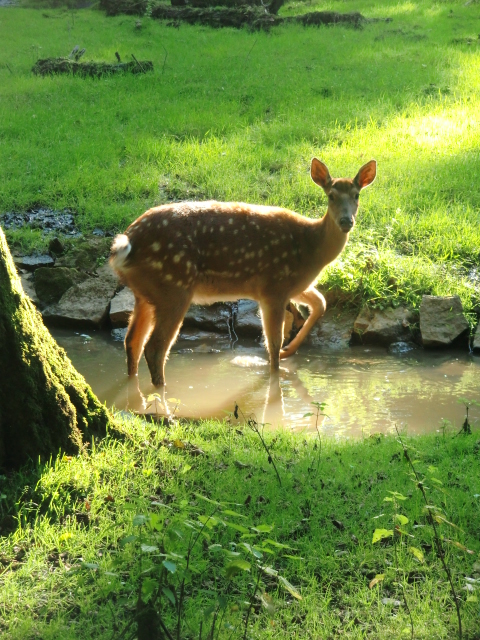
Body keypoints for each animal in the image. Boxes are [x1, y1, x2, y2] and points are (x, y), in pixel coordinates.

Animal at [110, 158, 376, 388]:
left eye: (357, 195)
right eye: (331, 196)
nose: (346, 221)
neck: (311, 248)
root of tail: (127, 241)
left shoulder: (293, 285)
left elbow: (320, 303)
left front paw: (288, 351)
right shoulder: (274, 287)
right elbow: (272, 344)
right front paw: (278, 370)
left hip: (146, 292)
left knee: (132, 341)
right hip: (174, 287)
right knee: (155, 348)